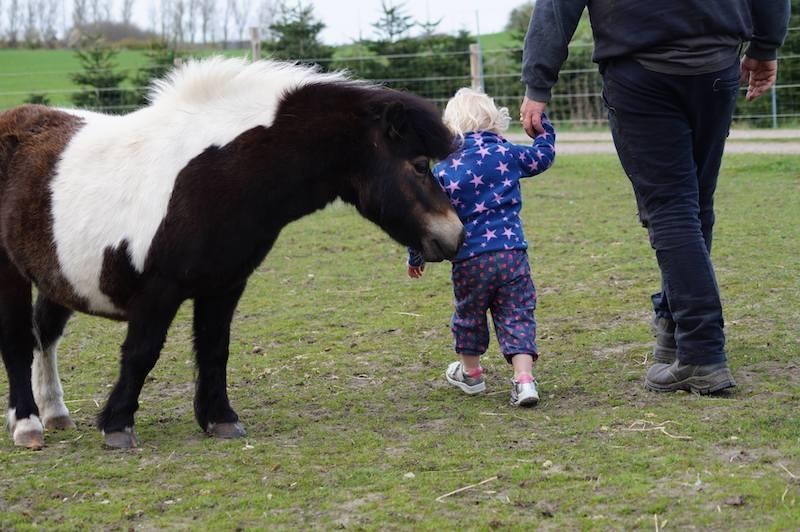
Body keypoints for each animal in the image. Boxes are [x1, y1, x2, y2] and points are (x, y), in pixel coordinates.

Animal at [0, 57, 464, 449]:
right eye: (420, 165)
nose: (455, 236)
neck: (217, 172)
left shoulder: (224, 283)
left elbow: (214, 348)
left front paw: (219, 419)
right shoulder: (158, 291)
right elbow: (142, 352)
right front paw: (117, 426)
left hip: (58, 276)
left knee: (45, 334)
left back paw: (55, 412)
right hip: (11, 273)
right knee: (19, 341)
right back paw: (27, 424)